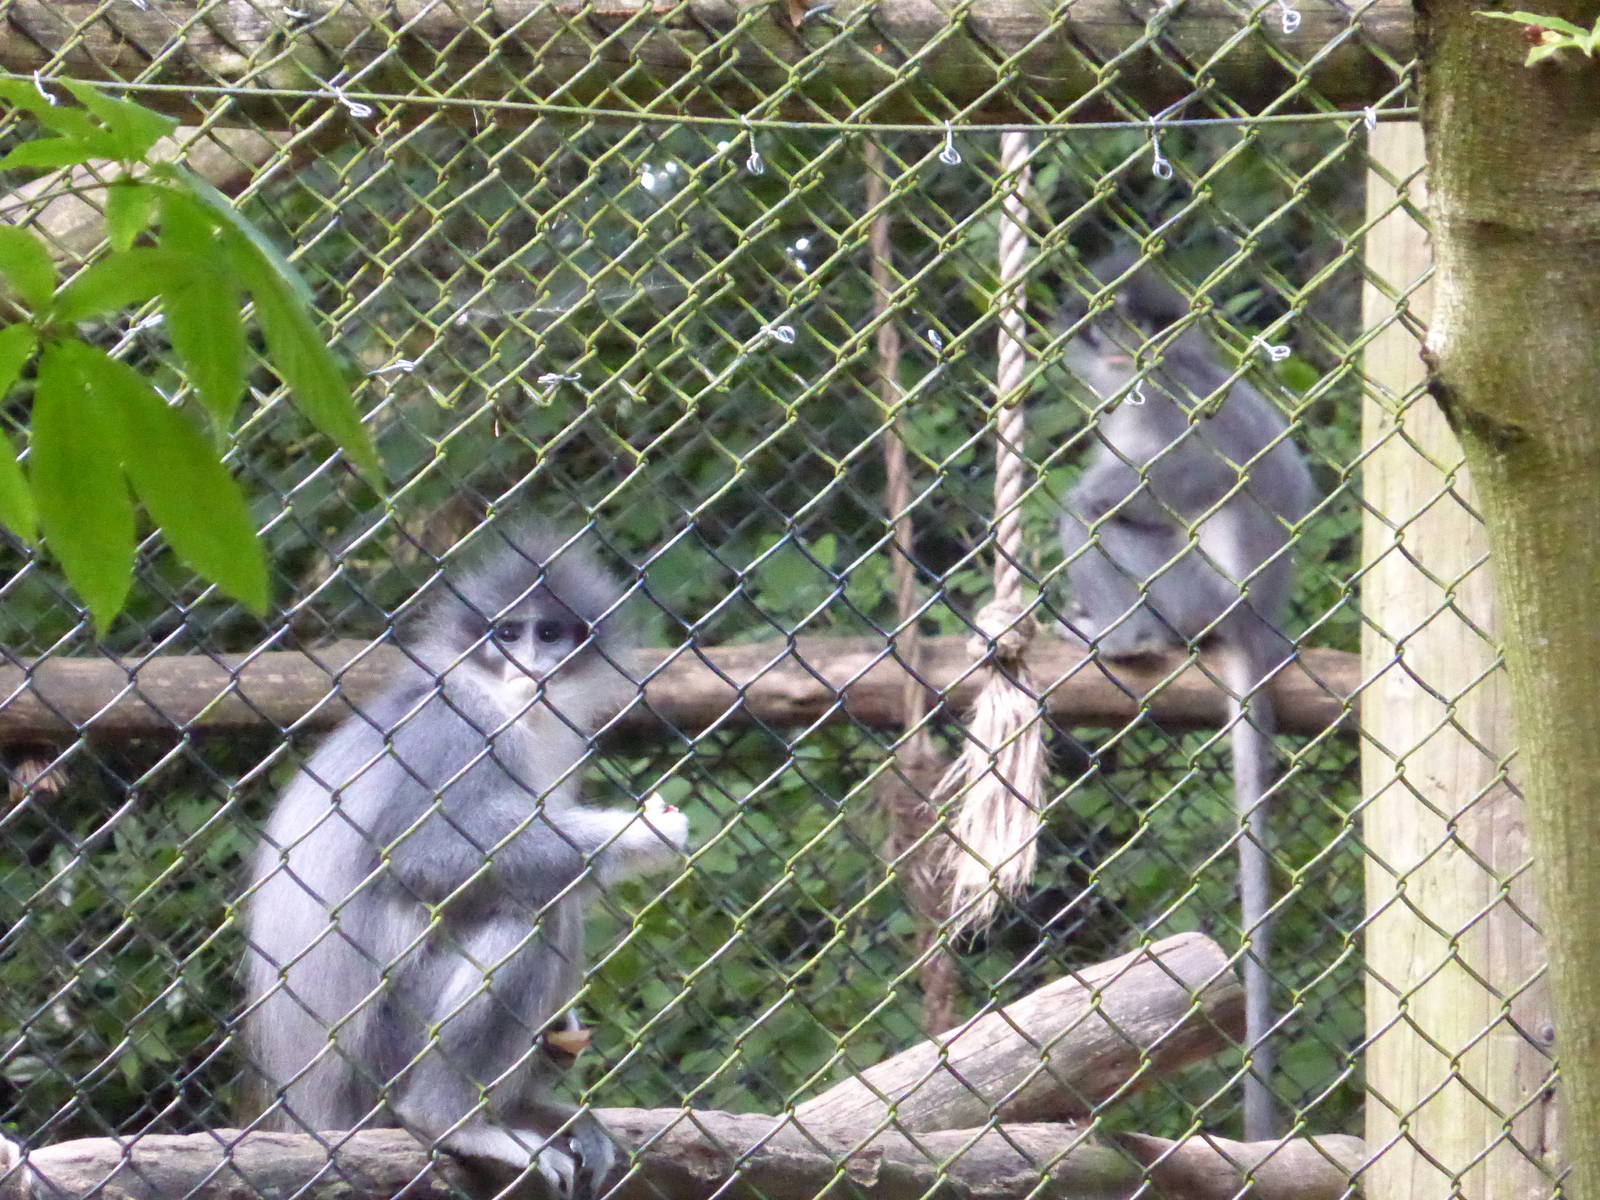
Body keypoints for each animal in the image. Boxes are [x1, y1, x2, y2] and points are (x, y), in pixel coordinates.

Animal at [241, 527, 688, 1198]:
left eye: (548, 633)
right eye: (507, 634)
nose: (530, 663)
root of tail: (319, 1114)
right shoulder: (459, 730)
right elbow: (421, 857)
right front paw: (639, 833)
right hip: (384, 1052)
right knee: (527, 915)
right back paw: (454, 1122)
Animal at [1057, 253, 1315, 1140]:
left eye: (1120, 325)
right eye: (1098, 325)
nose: (1105, 344)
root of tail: (1254, 620)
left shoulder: (1165, 396)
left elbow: (1186, 472)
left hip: (1189, 594)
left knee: (1100, 521)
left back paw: (1127, 638)